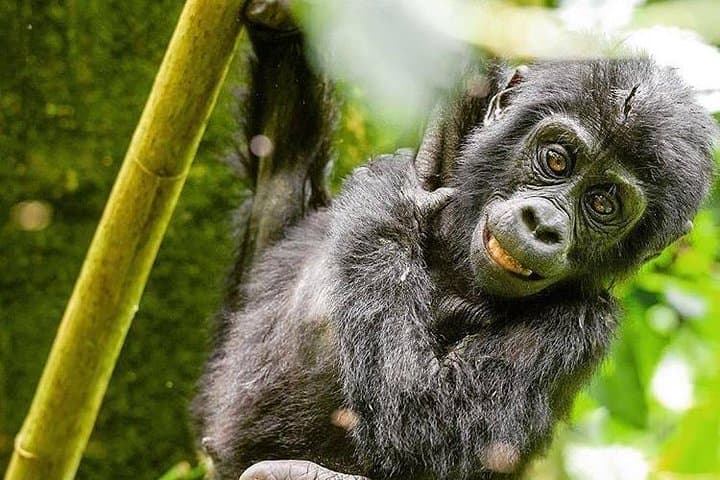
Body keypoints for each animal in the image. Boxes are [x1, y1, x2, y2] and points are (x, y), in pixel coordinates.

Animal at [193, 25, 718, 480]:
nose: (544, 224)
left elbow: (428, 421)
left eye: (603, 203)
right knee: (282, 171)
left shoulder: (582, 327)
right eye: (556, 159)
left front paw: (388, 201)